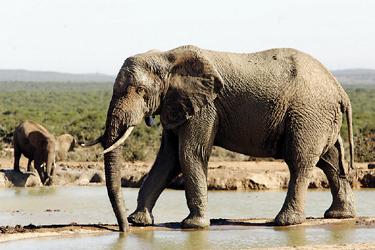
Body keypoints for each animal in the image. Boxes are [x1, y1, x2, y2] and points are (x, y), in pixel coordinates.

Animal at [89, 45, 356, 232]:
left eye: (140, 91)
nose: (122, 230)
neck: (167, 57)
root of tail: (340, 90)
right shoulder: (176, 104)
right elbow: (168, 159)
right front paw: (139, 222)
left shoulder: (207, 106)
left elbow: (189, 154)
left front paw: (192, 226)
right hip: (320, 116)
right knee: (329, 159)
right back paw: (339, 216)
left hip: (309, 113)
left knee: (300, 161)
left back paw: (285, 222)